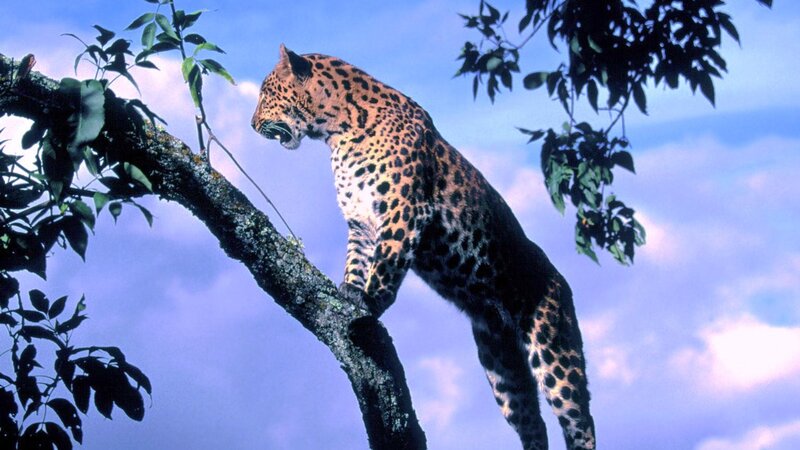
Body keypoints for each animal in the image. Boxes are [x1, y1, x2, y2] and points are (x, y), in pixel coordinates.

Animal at [251, 44, 596, 450]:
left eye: (266, 93)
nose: (252, 125)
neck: (337, 131)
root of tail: (562, 283)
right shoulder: (361, 223)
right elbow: (357, 262)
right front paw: (349, 291)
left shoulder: (405, 209)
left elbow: (386, 265)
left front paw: (369, 306)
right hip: (500, 367)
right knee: (533, 423)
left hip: (554, 349)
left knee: (579, 420)